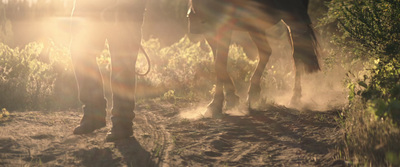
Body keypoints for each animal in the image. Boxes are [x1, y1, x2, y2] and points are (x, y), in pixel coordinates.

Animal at [186, 0, 320, 117]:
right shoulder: (210, 29)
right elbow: (219, 64)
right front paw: (230, 98)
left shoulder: (224, 25)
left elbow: (219, 63)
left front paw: (216, 105)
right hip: (256, 25)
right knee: (272, 52)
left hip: (292, 20)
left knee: (296, 55)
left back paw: (293, 98)